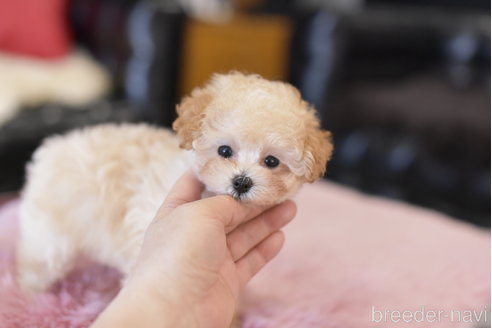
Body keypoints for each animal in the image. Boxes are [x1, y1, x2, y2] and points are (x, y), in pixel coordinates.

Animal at [16, 71, 334, 292]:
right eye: (224, 151)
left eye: (271, 162)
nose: (242, 182)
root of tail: (51, 149)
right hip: (50, 234)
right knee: (37, 262)